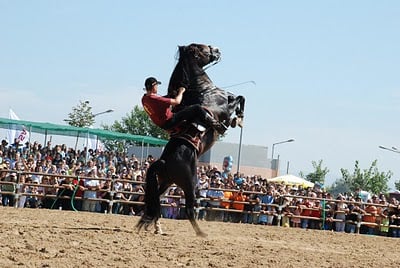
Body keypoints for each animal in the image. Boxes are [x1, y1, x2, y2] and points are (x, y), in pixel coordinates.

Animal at [137, 43, 244, 236]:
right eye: (203, 48)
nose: (217, 50)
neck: (204, 90)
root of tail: (164, 161)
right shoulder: (227, 105)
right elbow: (240, 98)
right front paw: (237, 119)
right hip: (189, 183)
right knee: (187, 209)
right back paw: (201, 233)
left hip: (166, 182)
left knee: (155, 201)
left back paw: (157, 227)